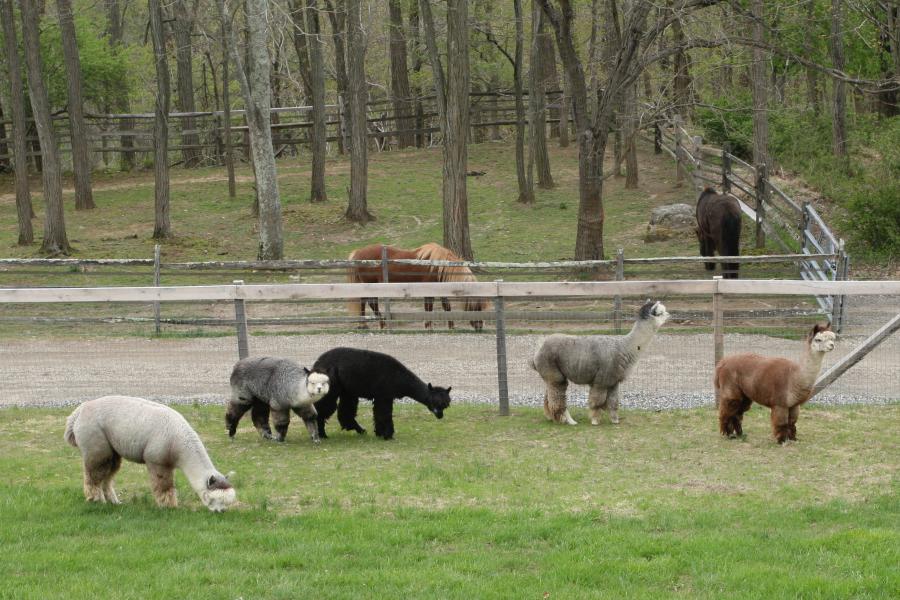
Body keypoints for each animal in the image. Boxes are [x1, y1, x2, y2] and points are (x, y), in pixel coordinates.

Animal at [346, 241, 486, 330]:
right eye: (477, 307)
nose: (479, 326)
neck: (437, 265)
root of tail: (358, 252)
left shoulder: (440, 289)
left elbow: (446, 306)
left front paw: (451, 326)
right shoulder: (429, 290)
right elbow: (429, 307)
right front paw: (428, 326)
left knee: (364, 302)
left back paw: (367, 325)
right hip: (370, 284)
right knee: (371, 303)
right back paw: (380, 324)